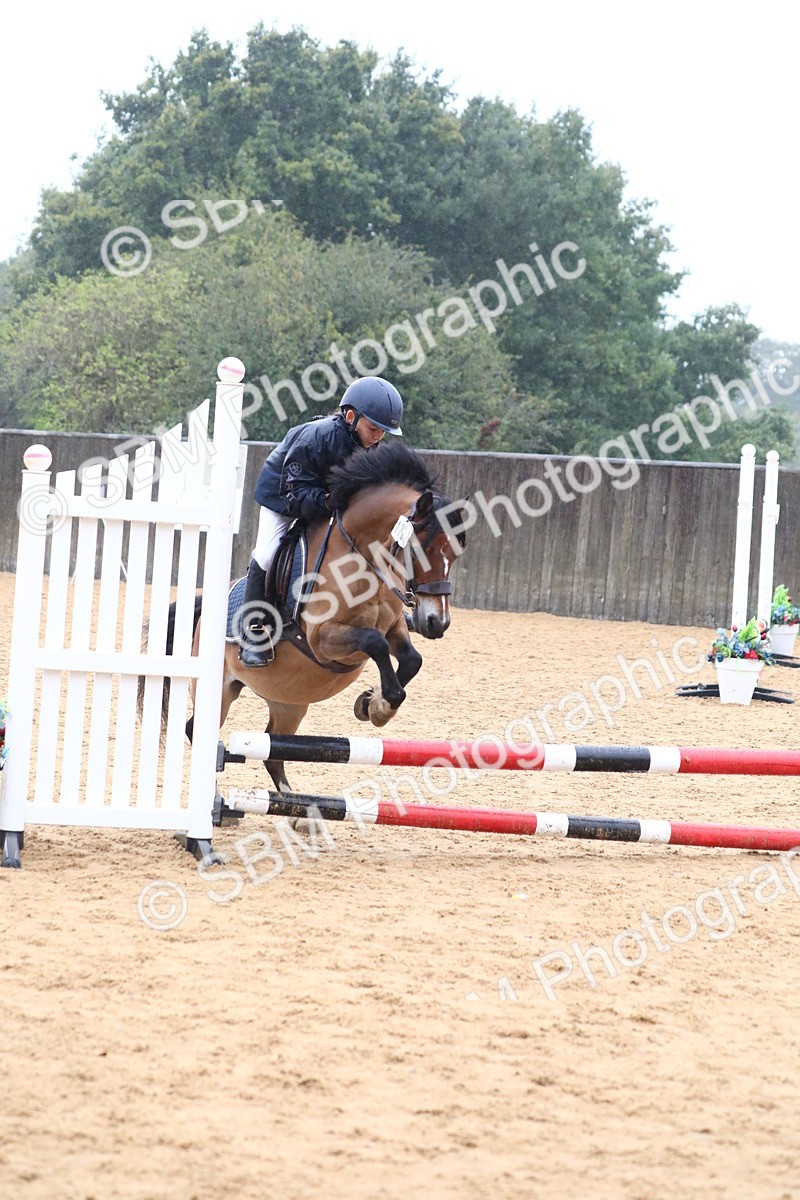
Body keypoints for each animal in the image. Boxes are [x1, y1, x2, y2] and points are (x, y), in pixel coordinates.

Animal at [159, 441, 468, 796]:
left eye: (456, 552)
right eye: (419, 549)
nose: (436, 622)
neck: (362, 561)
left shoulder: (394, 627)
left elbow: (412, 659)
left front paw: (370, 703)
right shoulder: (322, 639)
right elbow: (374, 642)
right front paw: (379, 707)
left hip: (289, 702)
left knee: (272, 750)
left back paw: (292, 804)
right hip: (221, 691)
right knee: (197, 731)